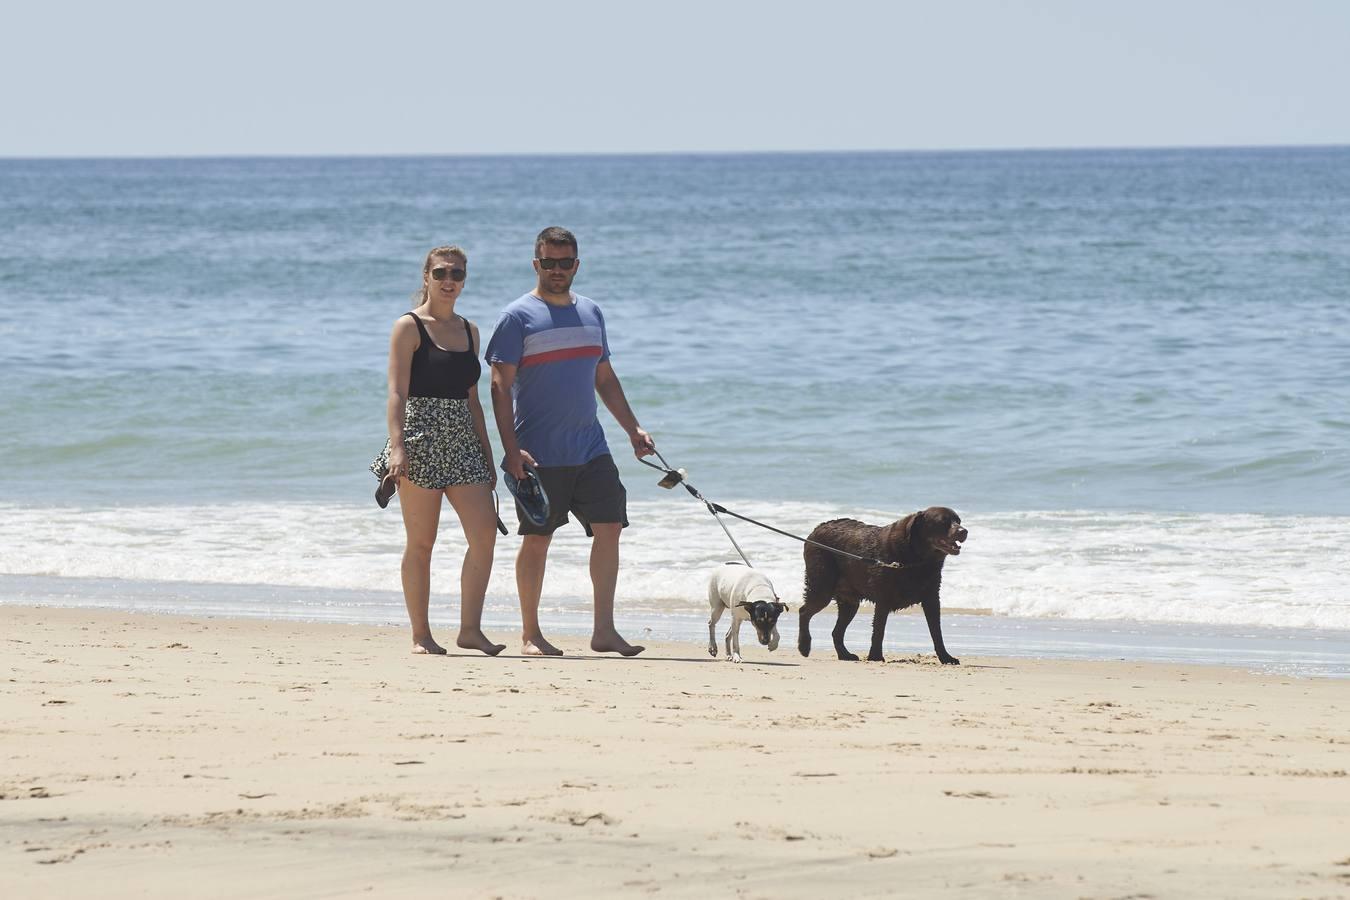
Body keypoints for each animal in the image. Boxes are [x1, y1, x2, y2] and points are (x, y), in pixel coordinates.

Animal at [793, 510, 966, 666]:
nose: (964, 531)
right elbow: (879, 630)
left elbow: (937, 632)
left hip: (849, 602)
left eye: (958, 521)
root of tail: (816, 529)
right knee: (804, 612)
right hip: (822, 588)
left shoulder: (932, 599)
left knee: (836, 631)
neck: (916, 560)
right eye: (943, 522)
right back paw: (804, 646)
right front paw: (875, 657)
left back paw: (845, 655)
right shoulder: (883, 599)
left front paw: (946, 658)